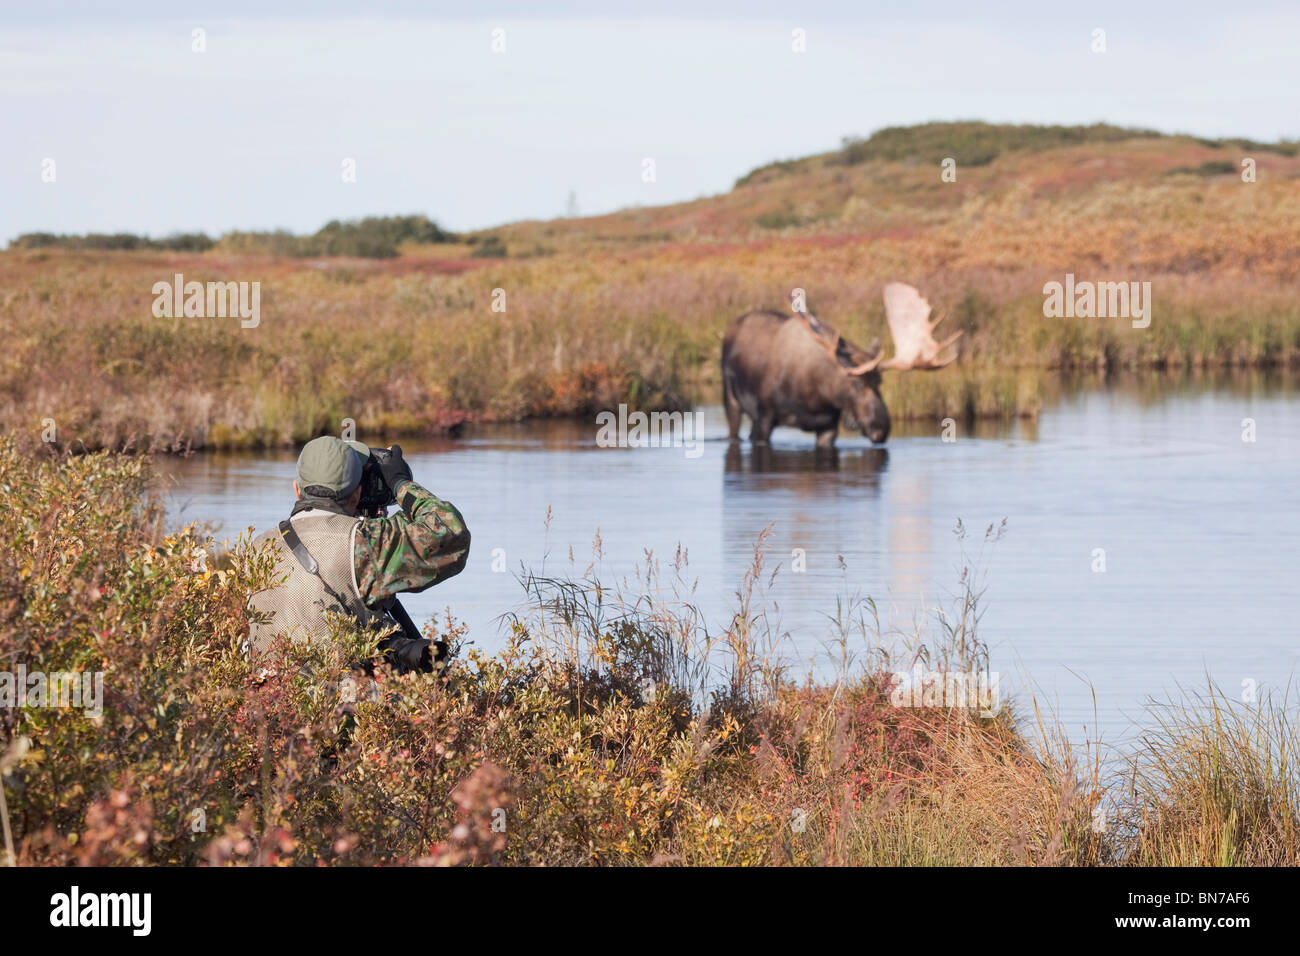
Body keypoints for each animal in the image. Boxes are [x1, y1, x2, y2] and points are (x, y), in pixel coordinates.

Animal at [717, 282, 961, 450]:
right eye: (855, 384)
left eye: (880, 383)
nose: (881, 429)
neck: (815, 396)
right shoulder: (764, 418)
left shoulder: (828, 427)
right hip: (731, 399)